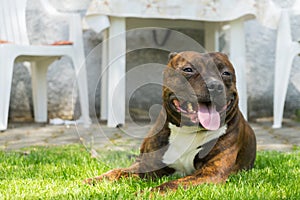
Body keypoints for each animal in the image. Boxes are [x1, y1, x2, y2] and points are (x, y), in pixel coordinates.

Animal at [85, 51, 256, 191]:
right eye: (188, 69)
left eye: (226, 73)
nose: (214, 85)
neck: (188, 132)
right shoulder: (147, 166)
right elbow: (117, 172)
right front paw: (93, 180)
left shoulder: (211, 173)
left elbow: (171, 184)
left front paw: (147, 193)